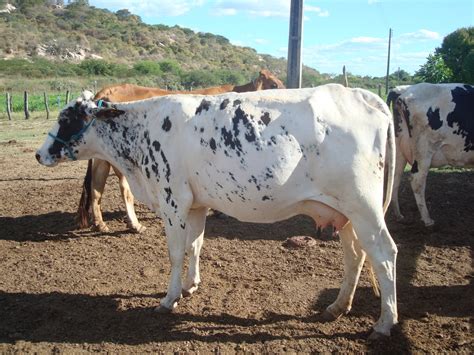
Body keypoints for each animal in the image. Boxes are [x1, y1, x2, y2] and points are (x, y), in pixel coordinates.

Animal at [78, 69, 286, 234]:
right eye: (274, 84)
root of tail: (104, 92)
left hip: (102, 158)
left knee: (96, 187)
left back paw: (100, 224)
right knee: (124, 190)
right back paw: (134, 225)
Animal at [390, 84, 472, 227]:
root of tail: (403, 92)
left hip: (399, 149)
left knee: (396, 177)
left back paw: (398, 215)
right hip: (424, 150)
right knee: (417, 180)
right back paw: (427, 220)